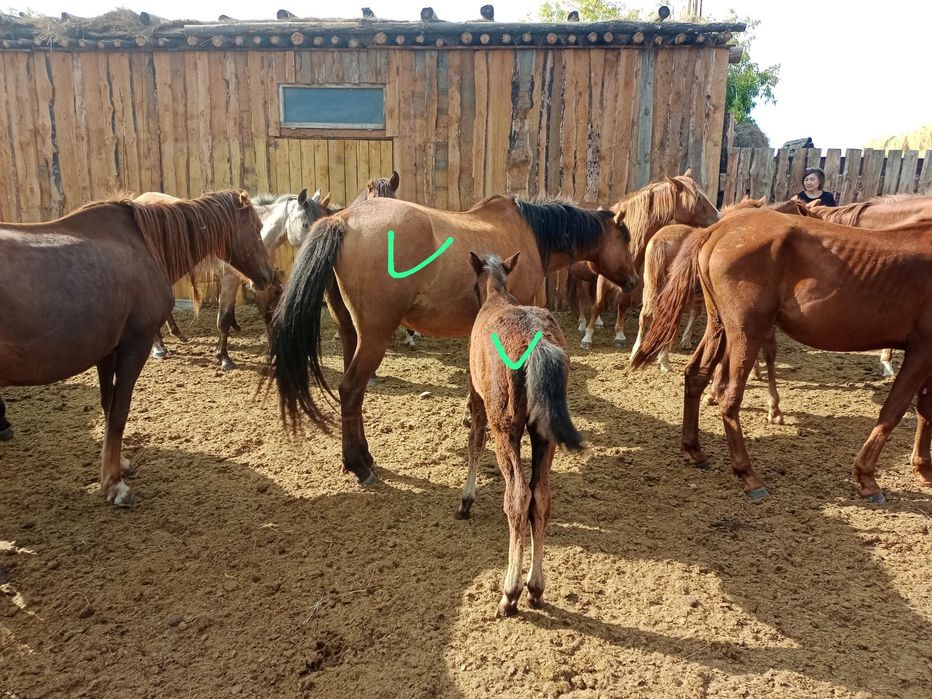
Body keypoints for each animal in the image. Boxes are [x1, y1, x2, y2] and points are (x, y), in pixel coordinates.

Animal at [0, 191, 275, 506]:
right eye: (257, 228)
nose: (268, 276)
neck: (144, 245)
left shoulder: (107, 352)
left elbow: (107, 406)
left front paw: (117, 464)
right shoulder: (135, 346)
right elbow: (119, 412)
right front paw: (114, 483)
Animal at [271, 195, 638, 485]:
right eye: (625, 238)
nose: (634, 280)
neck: (529, 231)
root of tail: (342, 220)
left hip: (351, 333)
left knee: (354, 395)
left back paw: (364, 457)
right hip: (374, 335)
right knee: (350, 390)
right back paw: (358, 465)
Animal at [456, 252, 582, 616]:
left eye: (473, 285)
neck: (497, 296)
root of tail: (535, 344)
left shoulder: (477, 394)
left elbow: (475, 439)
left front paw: (465, 501)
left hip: (507, 426)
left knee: (518, 496)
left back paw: (510, 592)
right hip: (544, 434)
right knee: (541, 496)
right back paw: (535, 588)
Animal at [578, 169, 720, 349]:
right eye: (698, 198)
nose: (719, 216)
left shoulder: (630, 277)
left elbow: (623, 303)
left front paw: (619, 334)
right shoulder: (604, 278)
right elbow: (598, 305)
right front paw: (587, 337)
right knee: (582, 296)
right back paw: (583, 324)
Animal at [630, 207, 932, 504]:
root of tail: (718, 230)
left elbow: (924, 411)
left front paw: (923, 468)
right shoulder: (921, 350)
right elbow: (893, 411)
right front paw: (866, 478)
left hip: (719, 326)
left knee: (696, 375)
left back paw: (695, 450)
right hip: (746, 333)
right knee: (729, 395)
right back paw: (748, 475)